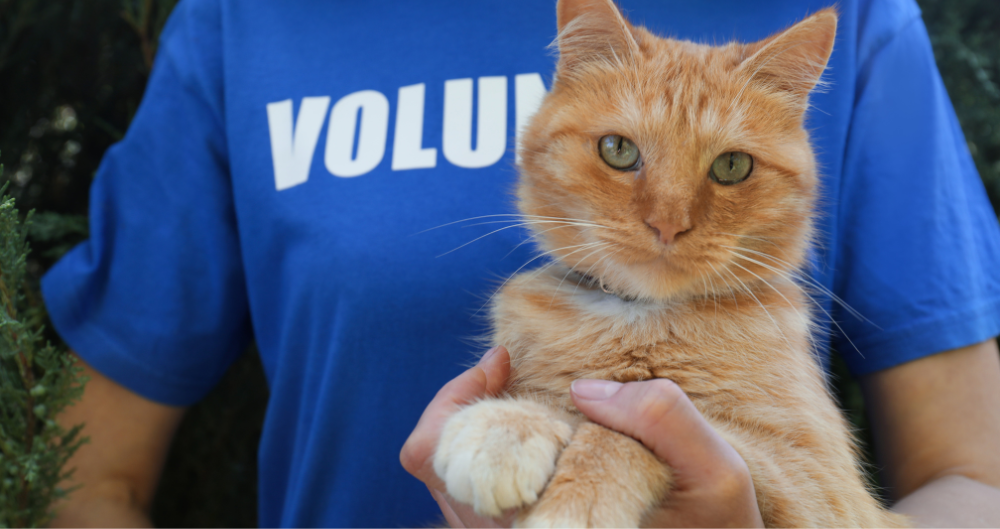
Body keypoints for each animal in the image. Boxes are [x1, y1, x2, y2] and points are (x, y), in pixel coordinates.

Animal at [434, 2, 912, 524]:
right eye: (618, 149)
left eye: (732, 166)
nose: (667, 224)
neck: (640, 320)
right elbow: (562, 401)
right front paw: (508, 424)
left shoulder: (820, 484)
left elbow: (622, 425)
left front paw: (577, 495)